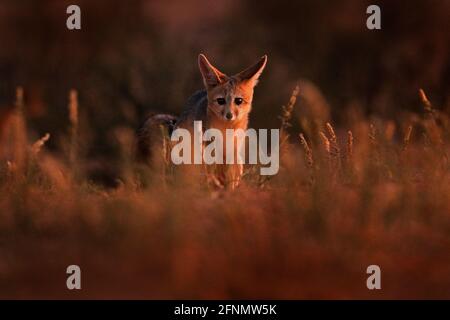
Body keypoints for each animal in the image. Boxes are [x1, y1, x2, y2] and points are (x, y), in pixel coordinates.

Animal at [137, 52, 268, 188]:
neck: (226, 130)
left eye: (239, 101)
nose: (229, 115)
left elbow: (228, 179)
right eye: (221, 101)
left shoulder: (232, 152)